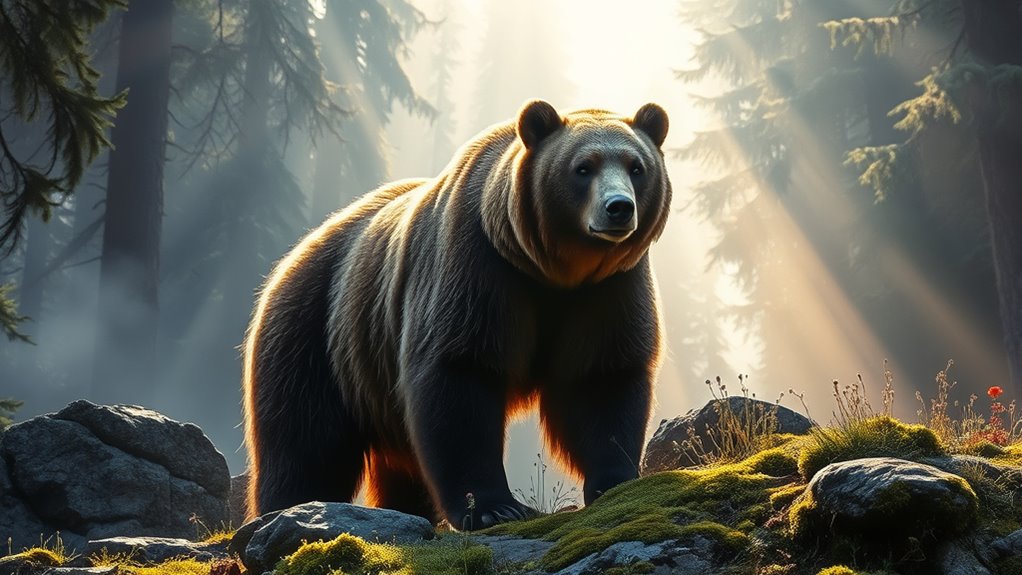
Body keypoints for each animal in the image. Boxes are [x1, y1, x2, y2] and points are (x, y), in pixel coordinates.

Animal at [242, 99, 672, 528]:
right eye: (583, 166)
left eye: (636, 166)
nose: (619, 208)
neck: (552, 269)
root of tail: (293, 256)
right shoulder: (477, 268)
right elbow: (459, 377)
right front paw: (494, 507)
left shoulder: (607, 289)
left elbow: (601, 379)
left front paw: (614, 481)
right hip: (318, 334)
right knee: (306, 442)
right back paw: (288, 507)